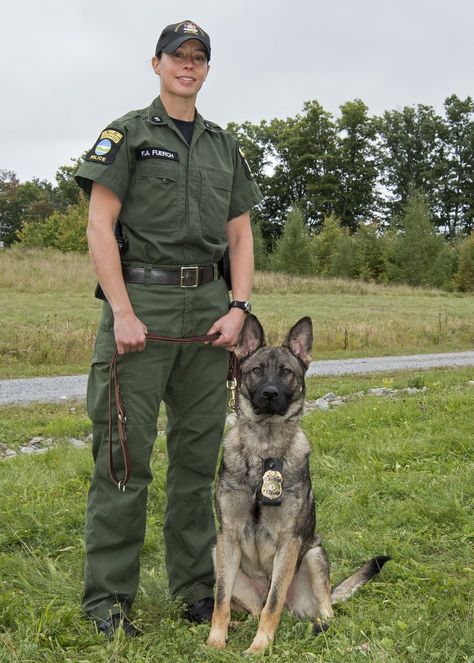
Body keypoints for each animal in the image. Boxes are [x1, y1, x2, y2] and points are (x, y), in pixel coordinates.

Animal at [207, 316, 388, 652]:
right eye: (257, 370)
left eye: (286, 372)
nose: (269, 394)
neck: (264, 449)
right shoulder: (228, 535)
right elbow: (220, 599)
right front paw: (215, 640)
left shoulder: (289, 542)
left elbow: (274, 601)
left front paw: (260, 647)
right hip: (219, 554)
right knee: (253, 608)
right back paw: (238, 625)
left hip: (314, 556)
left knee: (320, 613)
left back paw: (316, 626)